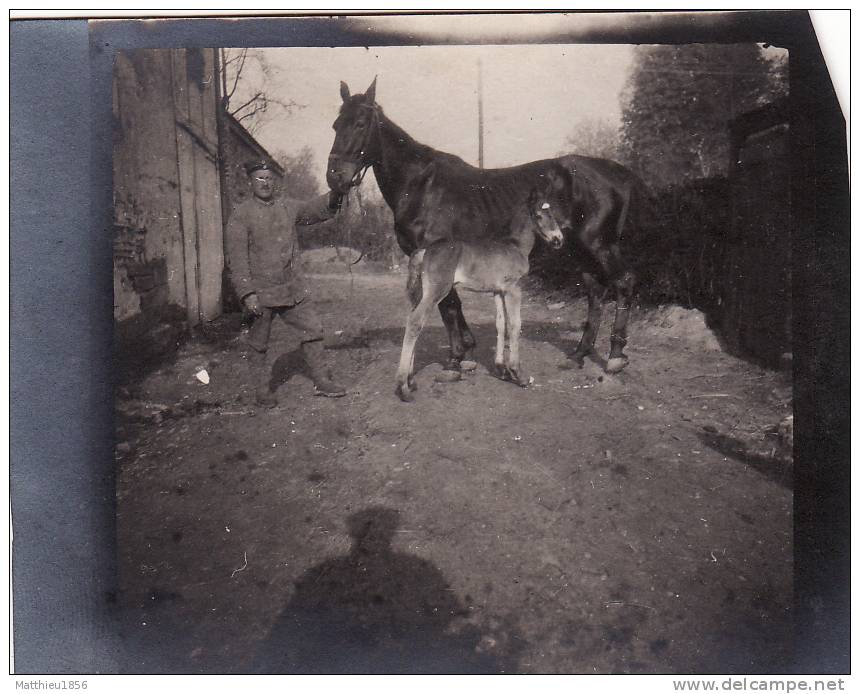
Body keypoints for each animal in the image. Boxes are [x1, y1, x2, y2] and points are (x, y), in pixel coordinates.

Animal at [328, 79, 640, 380]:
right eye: (335, 124)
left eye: (360, 123)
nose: (335, 178)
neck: (421, 185)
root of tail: (617, 172)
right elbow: (451, 305)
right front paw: (467, 352)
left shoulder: (441, 253)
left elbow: (449, 306)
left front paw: (456, 360)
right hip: (577, 250)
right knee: (595, 292)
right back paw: (579, 354)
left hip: (599, 245)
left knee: (623, 282)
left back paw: (615, 357)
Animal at [394, 172, 564, 406]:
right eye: (538, 215)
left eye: (552, 213)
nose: (558, 240)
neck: (514, 246)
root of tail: (425, 250)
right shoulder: (513, 289)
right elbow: (515, 325)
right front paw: (518, 374)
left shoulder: (498, 291)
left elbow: (501, 324)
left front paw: (502, 370)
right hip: (437, 291)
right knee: (415, 322)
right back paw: (403, 387)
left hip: (422, 292)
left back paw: (411, 381)